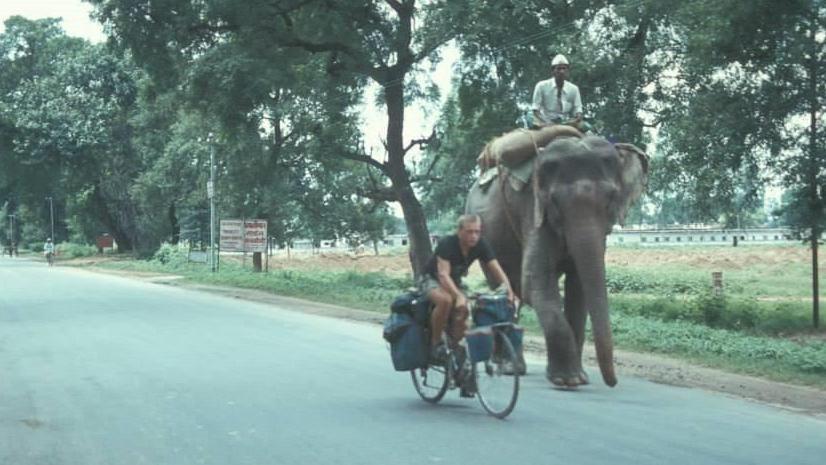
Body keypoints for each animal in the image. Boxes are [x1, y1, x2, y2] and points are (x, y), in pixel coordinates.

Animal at [466, 124, 648, 388]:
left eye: (610, 201)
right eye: (555, 202)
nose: (612, 382)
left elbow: (579, 287)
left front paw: (580, 378)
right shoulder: (532, 211)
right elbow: (535, 283)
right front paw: (567, 380)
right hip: (485, 236)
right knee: (505, 288)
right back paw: (508, 367)